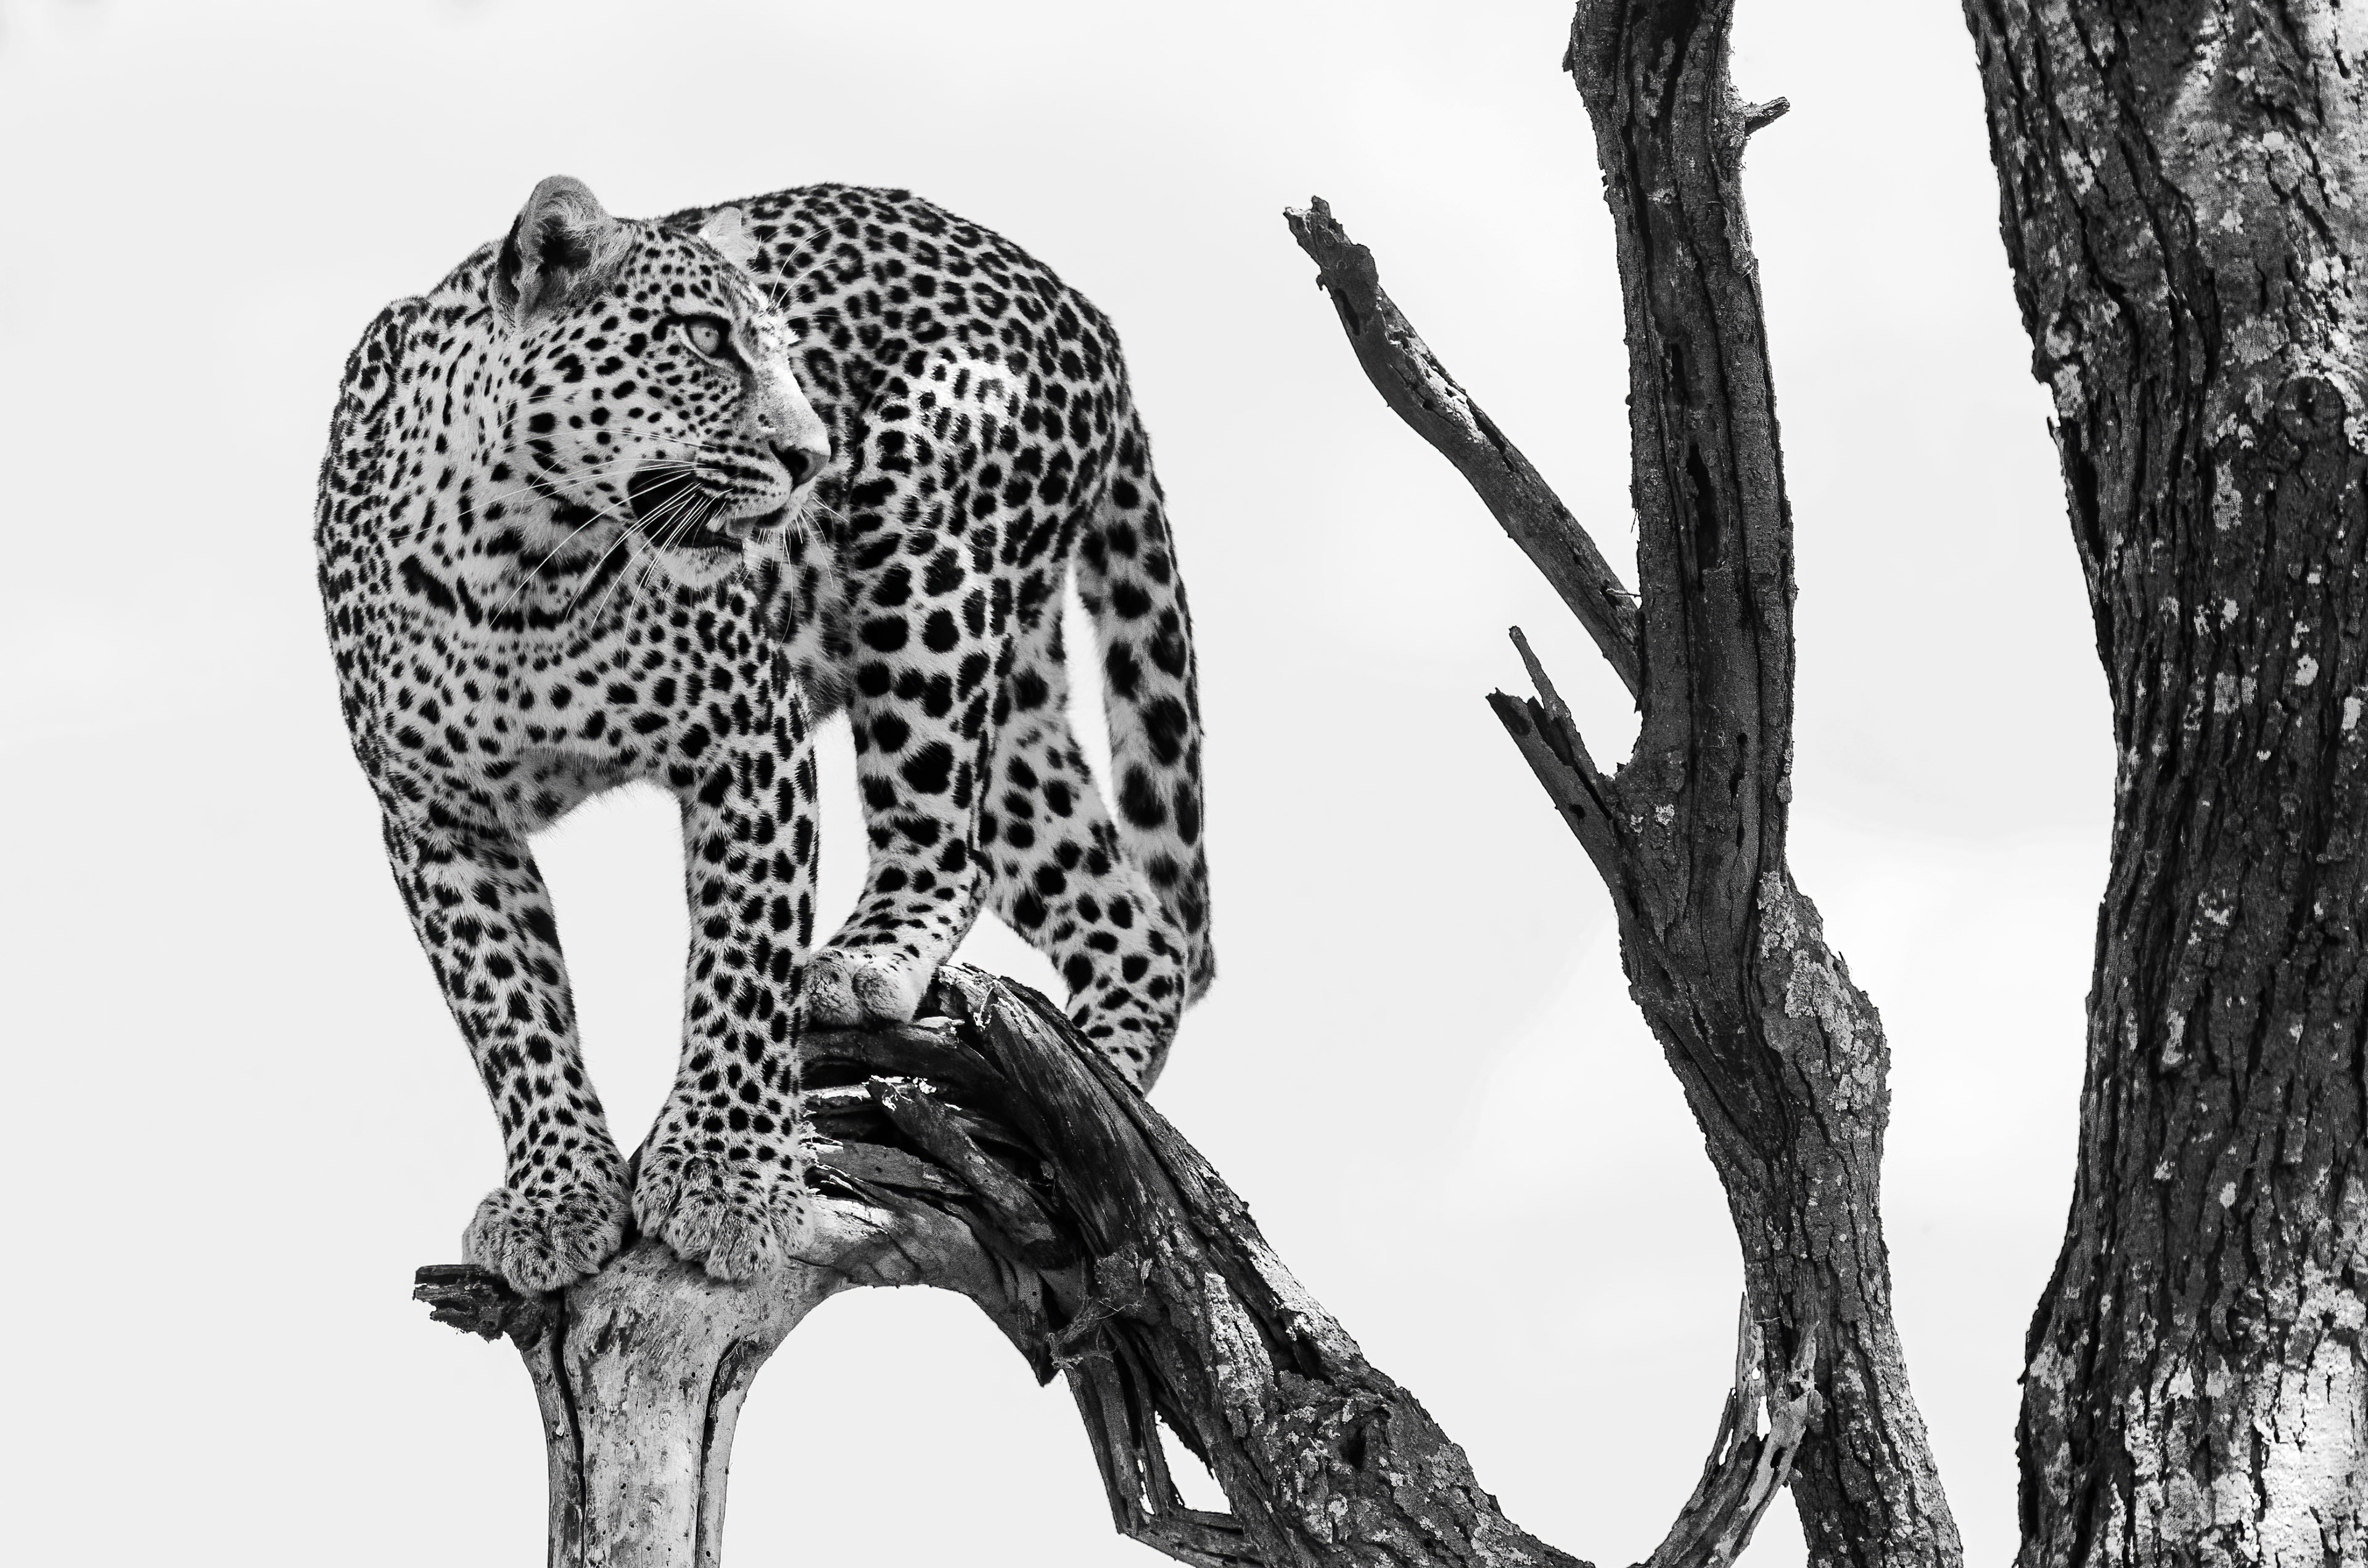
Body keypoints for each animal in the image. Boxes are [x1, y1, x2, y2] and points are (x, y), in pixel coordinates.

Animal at [315, 176, 1212, 1295]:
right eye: (705, 338)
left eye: (786, 355)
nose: (811, 455)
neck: (515, 568)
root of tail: (1083, 306)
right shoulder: (437, 818)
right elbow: (509, 1011)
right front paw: (556, 1193)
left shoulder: (749, 736)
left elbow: (743, 963)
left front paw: (724, 1175)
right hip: (1016, 716)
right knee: (1131, 924)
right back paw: (1075, 1127)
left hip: (927, 557)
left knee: (942, 846)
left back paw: (875, 968)